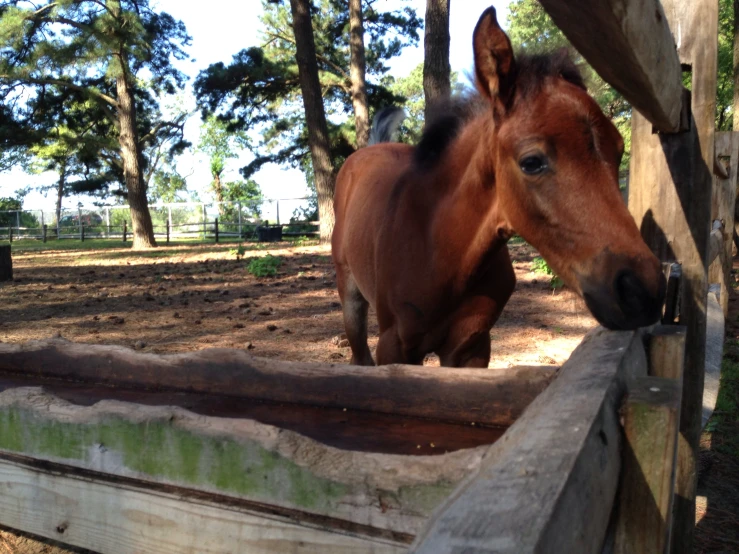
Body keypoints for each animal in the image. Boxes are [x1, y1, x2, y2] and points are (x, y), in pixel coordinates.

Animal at [332, 6, 668, 366]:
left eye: (619, 149)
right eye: (531, 162)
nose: (643, 290)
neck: (439, 248)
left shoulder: (472, 346)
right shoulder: (394, 347)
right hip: (350, 298)